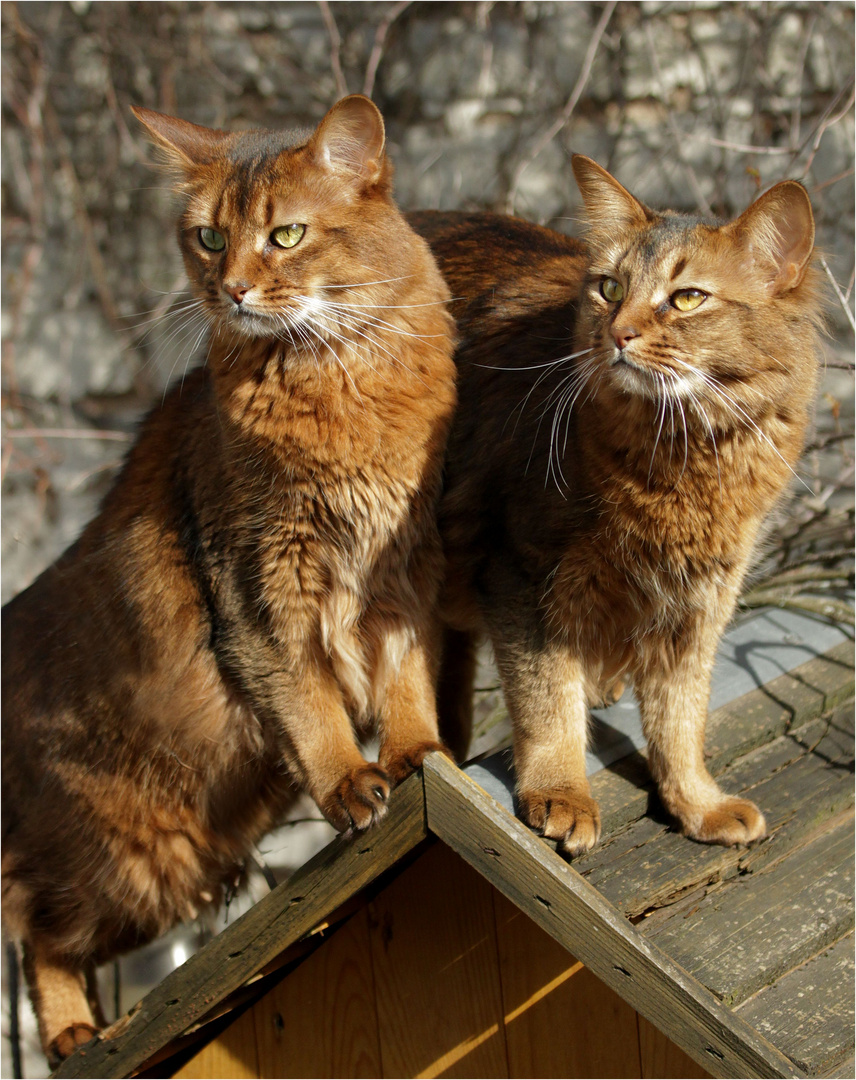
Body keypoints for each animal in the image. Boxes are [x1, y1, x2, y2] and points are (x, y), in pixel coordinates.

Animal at [3, 95, 457, 1062]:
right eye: (210, 238)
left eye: (285, 235)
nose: (234, 290)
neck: (339, 381)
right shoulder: (257, 591)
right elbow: (310, 703)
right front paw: (351, 784)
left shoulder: (404, 573)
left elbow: (407, 681)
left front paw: (418, 757)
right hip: (128, 863)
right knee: (35, 932)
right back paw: (74, 1035)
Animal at [410, 154, 816, 859]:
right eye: (608, 287)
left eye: (687, 298)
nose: (619, 335)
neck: (677, 455)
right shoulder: (521, 572)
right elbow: (547, 701)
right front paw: (561, 795)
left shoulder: (701, 600)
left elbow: (681, 718)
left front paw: (696, 805)